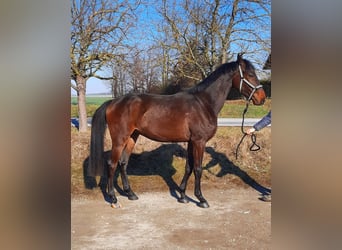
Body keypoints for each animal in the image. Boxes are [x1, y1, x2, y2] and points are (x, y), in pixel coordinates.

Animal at [87, 53, 264, 208]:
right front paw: (201, 199)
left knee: (123, 163)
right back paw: (113, 199)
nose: (261, 98)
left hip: (132, 137)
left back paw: (130, 194)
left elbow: (189, 167)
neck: (203, 103)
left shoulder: (192, 142)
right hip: (119, 139)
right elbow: (198, 169)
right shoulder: (199, 141)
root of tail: (113, 102)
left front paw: (183, 196)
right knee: (112, 164)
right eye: (250, 74)